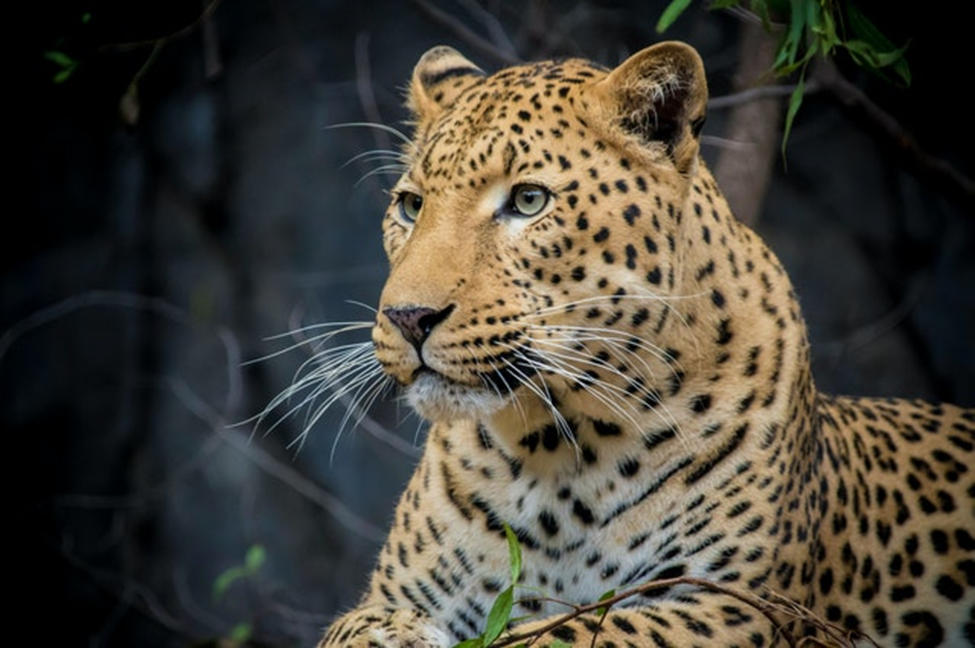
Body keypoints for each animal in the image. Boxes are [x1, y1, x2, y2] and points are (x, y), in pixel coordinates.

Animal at [316, 43, 972, 644]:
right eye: (411, 205)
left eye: (528, 200)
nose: (408, 318)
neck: (554, 456)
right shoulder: (389, 596)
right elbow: (354, 628)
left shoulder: (735, 606)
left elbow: (573, 633)